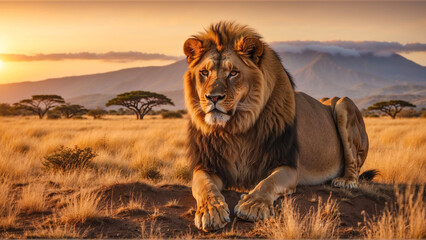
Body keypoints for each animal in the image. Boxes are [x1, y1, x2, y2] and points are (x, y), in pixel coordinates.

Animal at [183, 22, 372, 231]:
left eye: (233, 73)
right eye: (204, 72)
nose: (213, 97)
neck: (235, 129)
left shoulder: (287, 164)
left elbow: (268, 182)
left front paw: (253, 205)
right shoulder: (207, 165)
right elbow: (205, 186)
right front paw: (211, 211)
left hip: (343, 104)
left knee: (354, 165)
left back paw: (345, 181)